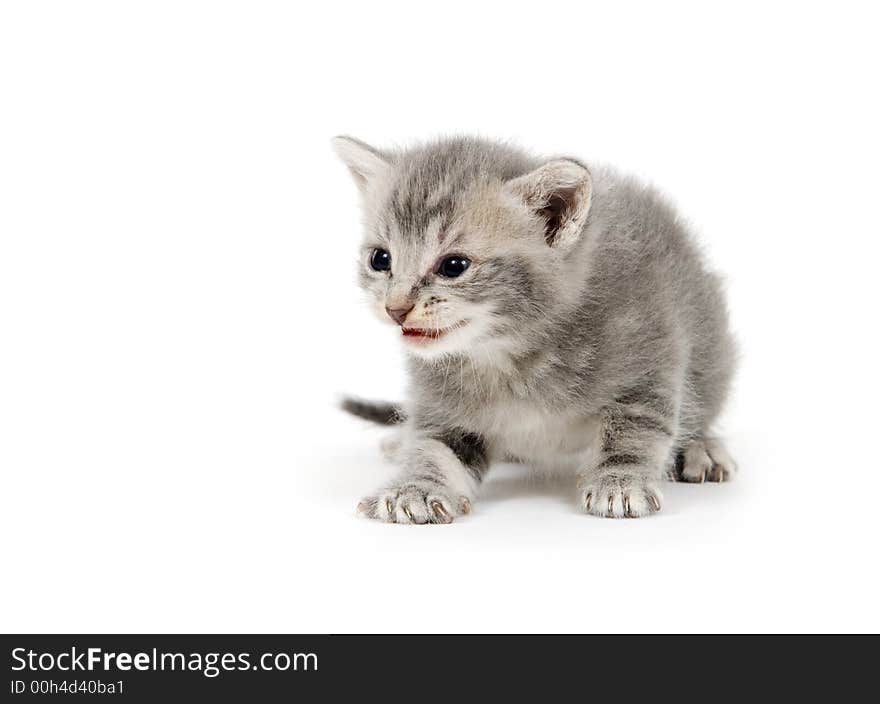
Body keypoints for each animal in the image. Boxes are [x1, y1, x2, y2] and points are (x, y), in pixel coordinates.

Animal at [330, 135, 736, 520]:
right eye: (380, 259)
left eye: (454, 266)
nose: (395, 308)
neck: (506, 353)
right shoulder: (444, 408)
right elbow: (433, 447)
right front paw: (415, 487)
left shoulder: (648, 358)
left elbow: (635, 432)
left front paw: (619, 482)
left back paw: (702, 447)